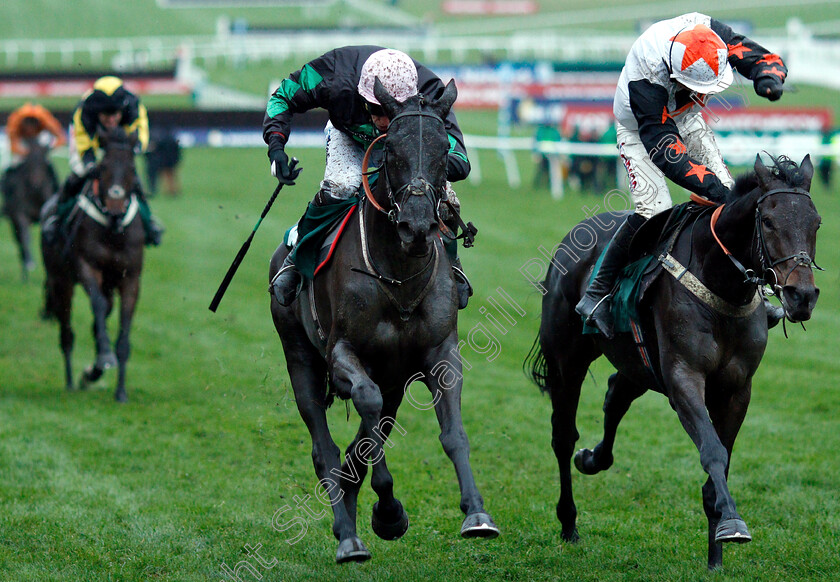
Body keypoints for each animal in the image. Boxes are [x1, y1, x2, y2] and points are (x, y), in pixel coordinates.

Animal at [1, 131, 57, 282]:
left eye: (43, 161)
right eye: (29, 160)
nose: (36, 180)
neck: (34, 192)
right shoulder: (19, 214)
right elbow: (25, 236)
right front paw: (30, 262)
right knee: (20, 242)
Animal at [41, 126, 146, 402]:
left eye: (132, 166)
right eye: (102, 166)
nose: (116, 204)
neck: (113, 230)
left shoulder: (131, 279)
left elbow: (122, 334)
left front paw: (120, 391)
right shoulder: (86, 266)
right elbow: (96, 305)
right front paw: (104, 358)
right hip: (60, 280)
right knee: (67, 332)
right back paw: (70, 380)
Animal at [268, 80, 498, 564]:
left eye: (443, 151)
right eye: (390, 148)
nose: (417, 226)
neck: (398, 276)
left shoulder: (439, 355)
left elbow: (452, 434)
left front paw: (476, 513)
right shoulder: (344, 354)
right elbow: (366, 408)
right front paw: (388, 510)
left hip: (395, 377)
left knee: (360, 443)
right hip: (298, 354)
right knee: (325, 448)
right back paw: (347, 536)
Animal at [524, 155, 820, 572]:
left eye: (816, 222)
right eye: (768, 221)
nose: (802, 295)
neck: (722, 283)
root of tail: (573, 238)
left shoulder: (736, 390)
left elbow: (721, 462)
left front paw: (716, 556)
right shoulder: (684, 378)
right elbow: (712, 451)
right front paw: (733, 524)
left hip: (638, 363)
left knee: (615, 396)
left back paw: (594, 459)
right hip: (567, 360)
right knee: (563, 437)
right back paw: (568, 523)